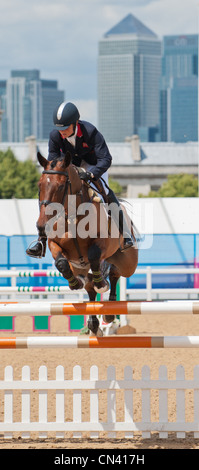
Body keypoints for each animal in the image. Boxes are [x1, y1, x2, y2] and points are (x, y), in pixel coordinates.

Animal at [36, 151, 138, 334]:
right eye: (39, 185)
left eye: (60, 187)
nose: (41, 226)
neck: (72, 215)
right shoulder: (55, 245)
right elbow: (61, 262)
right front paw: (75, 283)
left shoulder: (101, 243)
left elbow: (94, 255)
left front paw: (101, 284)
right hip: (79, 266)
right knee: (89, 286)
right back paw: (93, 322)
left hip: (128, 264)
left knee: (115, 273)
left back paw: (109, 313)